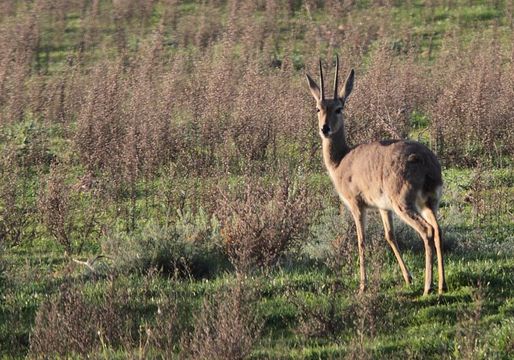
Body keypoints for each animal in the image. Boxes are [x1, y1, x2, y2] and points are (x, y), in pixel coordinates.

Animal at [306, 57, 446, 296]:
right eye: (318, 108)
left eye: (339, 108)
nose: (325, 128)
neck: (342, 160)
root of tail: (428, 163)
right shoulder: (383, 207)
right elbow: (390, 236)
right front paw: (408, 278)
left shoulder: (357, 205)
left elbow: (361, 240)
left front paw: (363, 285)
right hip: (429, 203)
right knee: (437, 230)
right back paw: (441, 285)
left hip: (405, 204)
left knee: (427, 231)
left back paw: (428, 287)